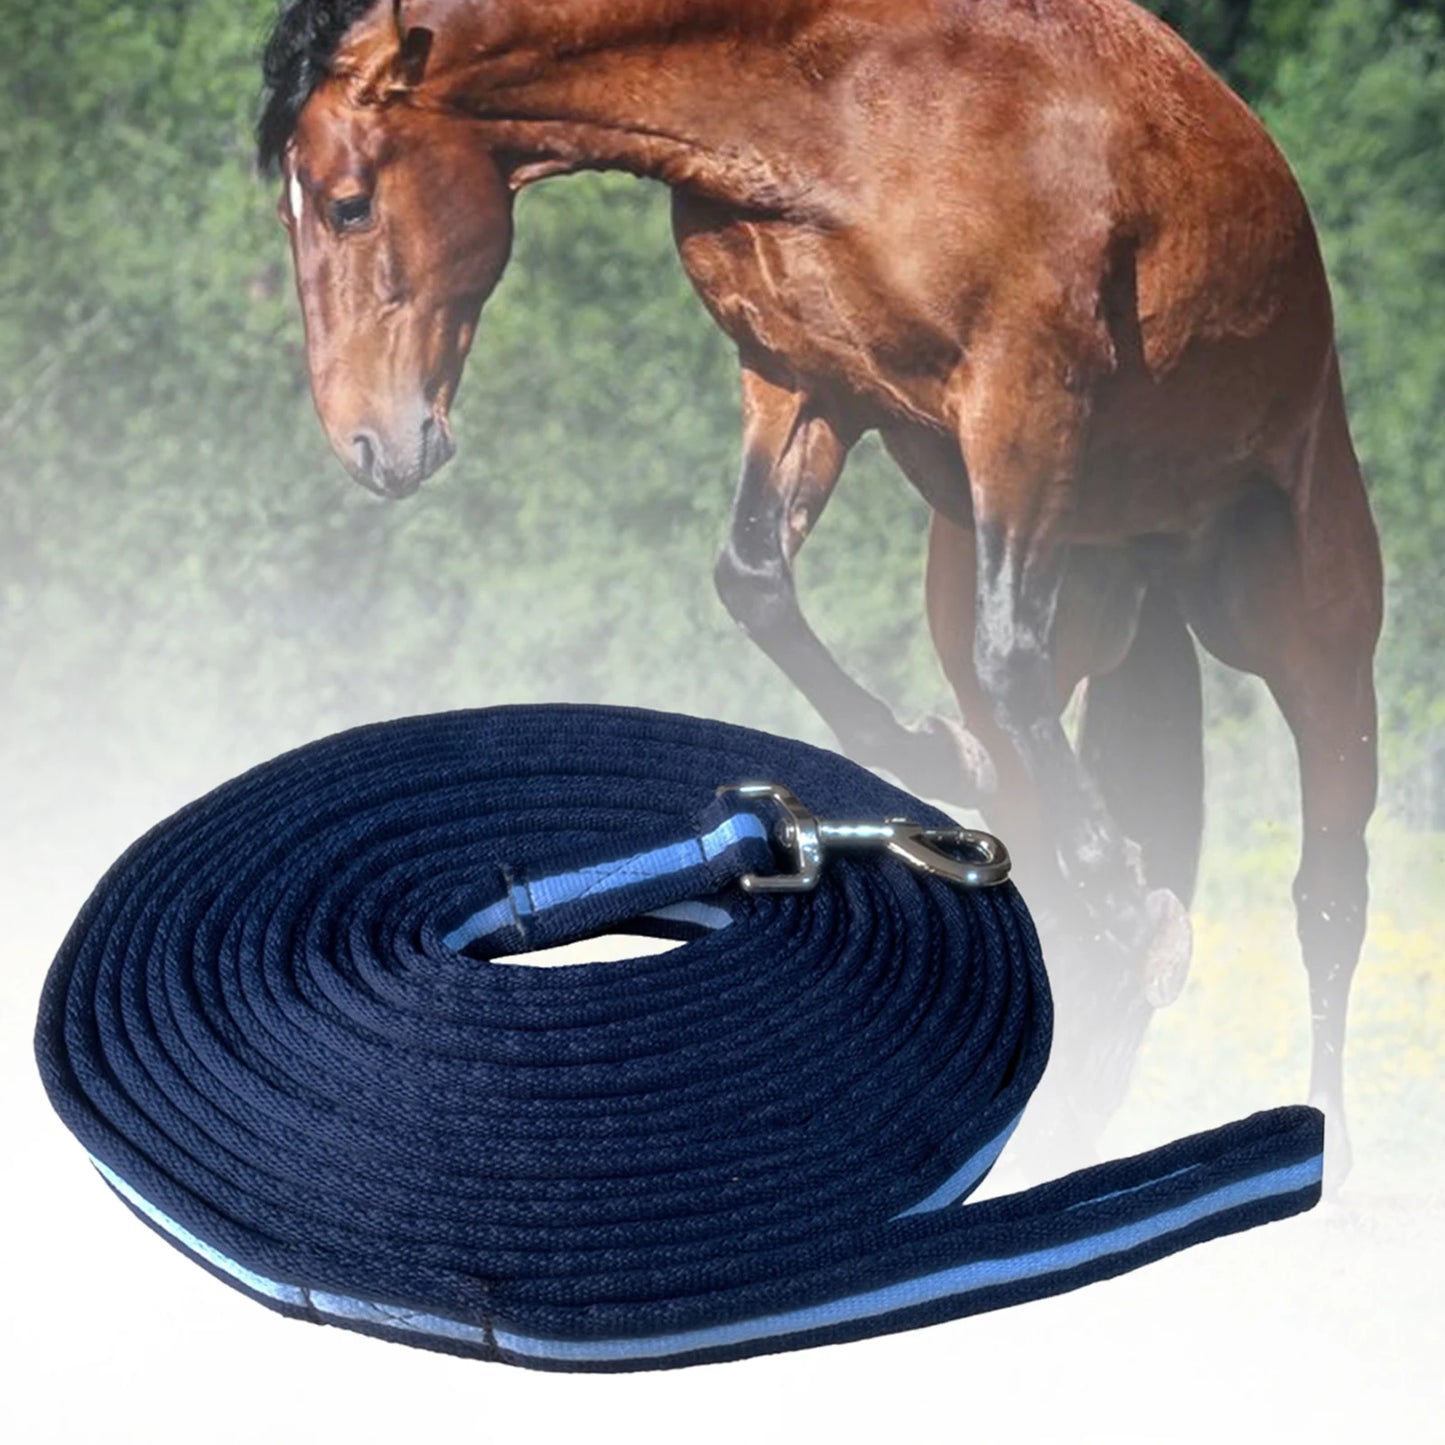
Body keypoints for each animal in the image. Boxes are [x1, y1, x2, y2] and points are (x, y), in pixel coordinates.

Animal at [260, 0, 1383, 1185]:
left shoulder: (1024, 395)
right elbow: (754, 580)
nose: (368, 445)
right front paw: (935, 756)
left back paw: (1327, 1139)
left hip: (1311, 636)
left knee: (1326, 893)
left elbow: (1004, 656)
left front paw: (1141, 913)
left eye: (345, 202)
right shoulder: (802, 381)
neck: (847, 96)